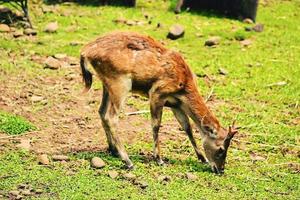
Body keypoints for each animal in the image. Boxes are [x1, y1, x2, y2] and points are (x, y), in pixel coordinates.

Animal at [80, 31, 239, 173]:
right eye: (221, 149)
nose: (220, 170)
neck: (184, 85)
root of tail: (85, 52)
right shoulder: (157, 93)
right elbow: (156, 125)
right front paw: (159, 159)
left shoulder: (176, 104)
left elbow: (187, 127)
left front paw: (202, 158)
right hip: (120, 83)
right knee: (111, 116)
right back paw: (128, 161)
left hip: (107, 85)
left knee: (101, 111)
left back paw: (113, 150)